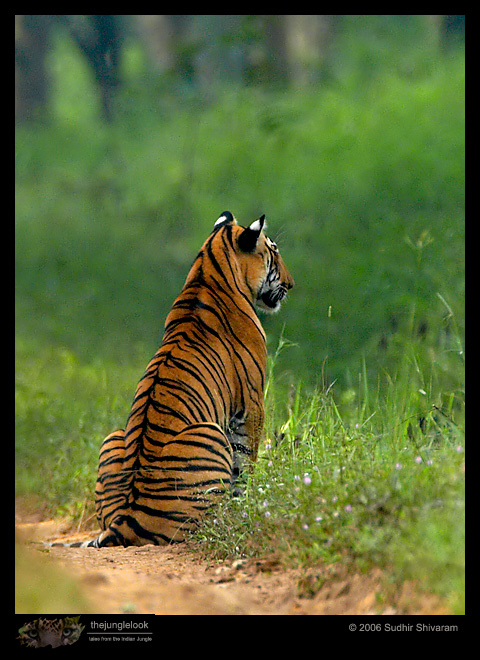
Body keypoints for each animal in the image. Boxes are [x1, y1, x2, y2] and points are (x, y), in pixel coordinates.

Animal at [52, 211, 293, 547]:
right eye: (274, 251)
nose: (291, 284)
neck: (208, 268)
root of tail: (125, 520)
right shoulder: (251, 403)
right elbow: (245, 462)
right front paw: (251, 502)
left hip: (113, 436)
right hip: (208, 432)